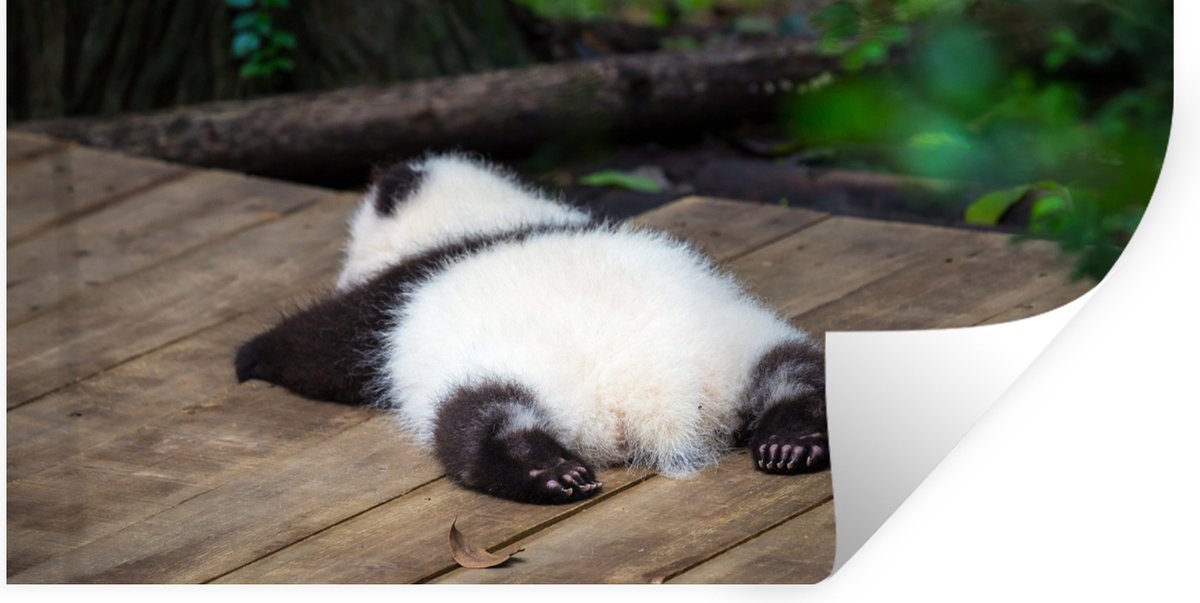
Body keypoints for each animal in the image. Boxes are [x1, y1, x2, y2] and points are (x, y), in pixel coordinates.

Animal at [235, 153, 829, 504]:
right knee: (799, 373)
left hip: (500, 375)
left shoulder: (393, 298)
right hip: (743, 343)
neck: (482, 217)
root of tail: (659, 399)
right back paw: (792, 442)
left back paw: (546, 472)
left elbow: (324, 347)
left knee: (477, 422)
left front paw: (251, 356)